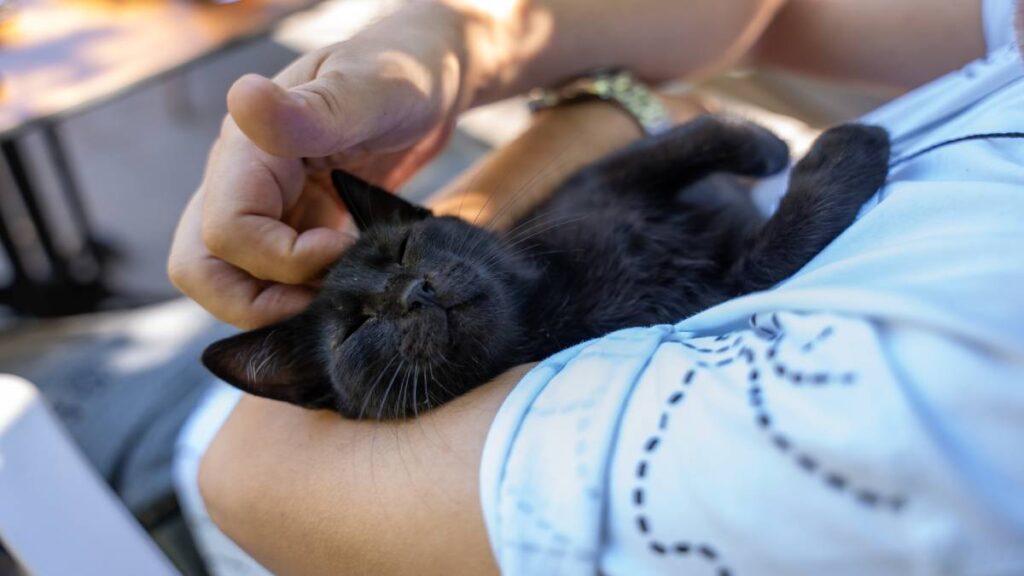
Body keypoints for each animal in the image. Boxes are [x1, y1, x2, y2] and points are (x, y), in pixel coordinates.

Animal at [199, 115, 888, 416]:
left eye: (404, 248)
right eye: (357, 328)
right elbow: (778, 248)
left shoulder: (595, 180)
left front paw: (765, 144)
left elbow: (687, 138)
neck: (551, 293)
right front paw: (848, 150)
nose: (417, 291)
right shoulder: (706, 289)